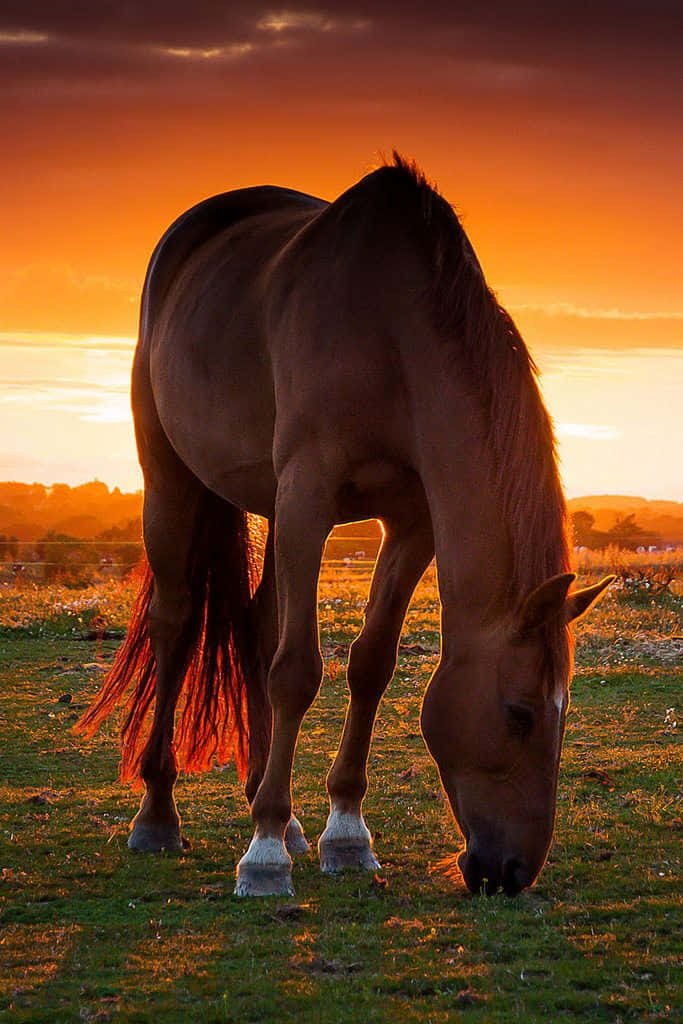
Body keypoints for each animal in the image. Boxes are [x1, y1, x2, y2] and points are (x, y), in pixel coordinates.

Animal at [76, 151, 614, 897]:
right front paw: (264, 855)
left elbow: (370, 663)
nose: (511, 872)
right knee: (176, 624)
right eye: (520, 714)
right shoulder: (310, 493)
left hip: (272, 509)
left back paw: (276, 807)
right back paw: (160, 816)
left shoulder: (411, 521)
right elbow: (297, 670)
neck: (392, 331)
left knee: (258, 624)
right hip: (174, 480)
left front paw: (344, 833)